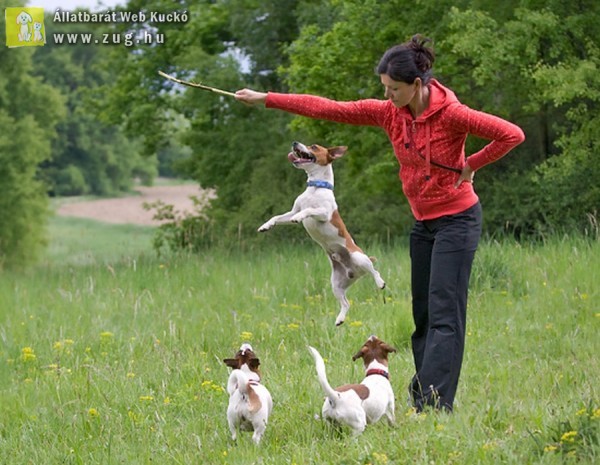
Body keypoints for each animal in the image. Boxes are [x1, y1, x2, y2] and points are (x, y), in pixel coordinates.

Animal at [260, 141, 386, 326]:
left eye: (314, 146)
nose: (295, 143)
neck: (316, 187)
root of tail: (354, 272)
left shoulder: (324, 214)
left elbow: (308, 210)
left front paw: (299, 217)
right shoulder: (292, 211)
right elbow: (278, 217)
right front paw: (266, 226)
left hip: (358, 257)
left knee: (374, 271)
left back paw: (380, 282)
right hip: (336, 285)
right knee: (346, 303)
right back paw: (340, 319)